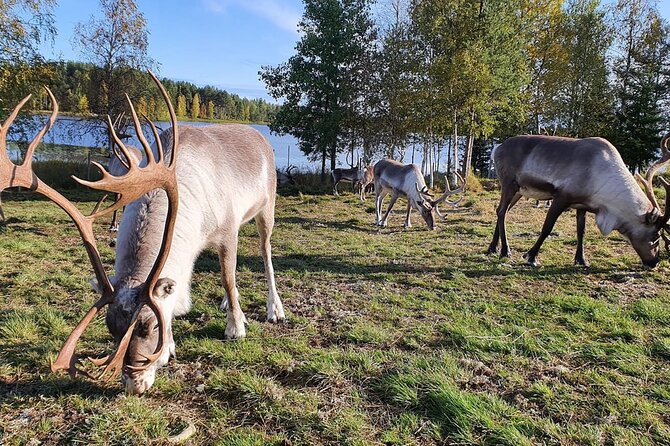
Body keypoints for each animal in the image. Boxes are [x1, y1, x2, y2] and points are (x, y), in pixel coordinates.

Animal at [0, 72, 285, 395]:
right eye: (111, 328)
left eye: (150, 325)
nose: (133, 385)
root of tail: (260, 137)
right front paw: (171, 346)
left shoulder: (227, 230)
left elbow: (228, 277)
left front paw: (236, 328)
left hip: (268, 207)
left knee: (265, 252)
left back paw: (275, 308)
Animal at [487, 134, 670, 267]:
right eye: (656, 235)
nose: (654, 262)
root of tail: (497, 148)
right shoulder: (561, 197)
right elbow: (547, 228)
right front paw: (531, 256)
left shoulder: (582, 204)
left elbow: (581, 232)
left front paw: (581, 260)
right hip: (509, 184)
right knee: (502, 211)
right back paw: (505, 251)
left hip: (518, 191)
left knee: (501, 210)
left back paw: (492, 248)